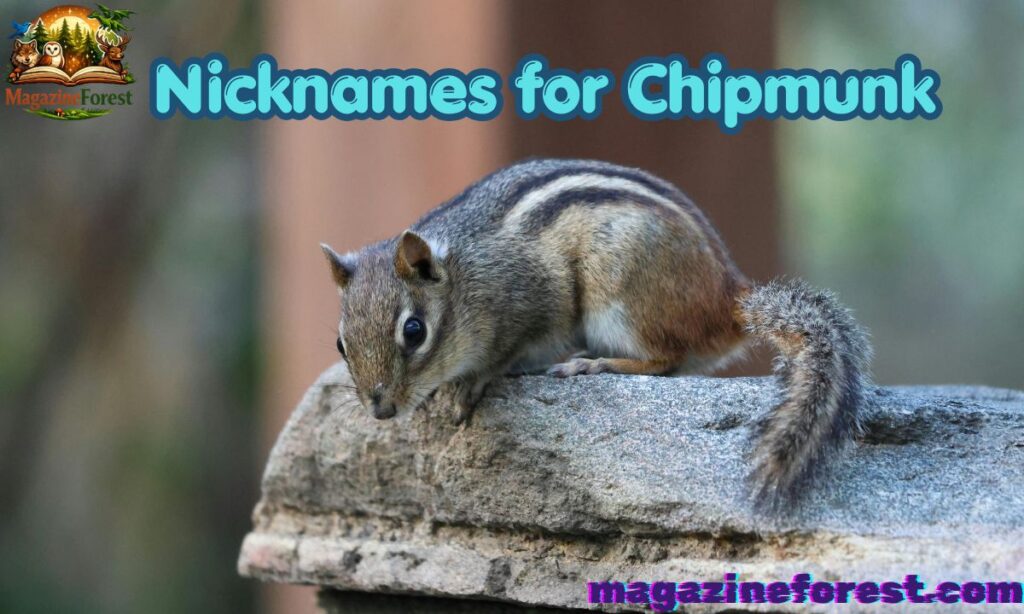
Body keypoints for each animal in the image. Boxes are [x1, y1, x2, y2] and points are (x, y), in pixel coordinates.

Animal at [321, 158, 871, 507]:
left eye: (414, 331)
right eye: (340, 343)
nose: (381, 410)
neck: (468, 276)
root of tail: (730, 294)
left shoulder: (539, 298)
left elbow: (507, 353)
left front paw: (469, 385)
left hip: (619, 286)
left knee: (664, 359)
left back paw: (594, 362)